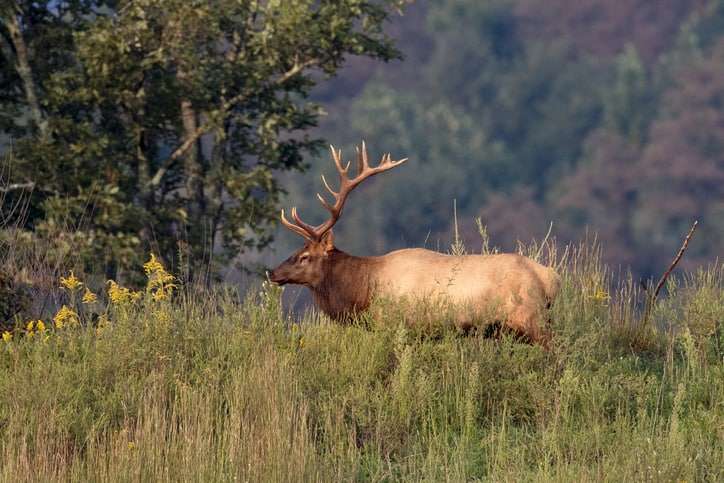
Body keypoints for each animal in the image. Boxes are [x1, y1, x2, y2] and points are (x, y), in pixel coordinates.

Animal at [272, 142, 560, 346]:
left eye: (305, 256)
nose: (273, 272)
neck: (366, 291)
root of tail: (551, 278)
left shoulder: (399, 325)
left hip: (533, 320)